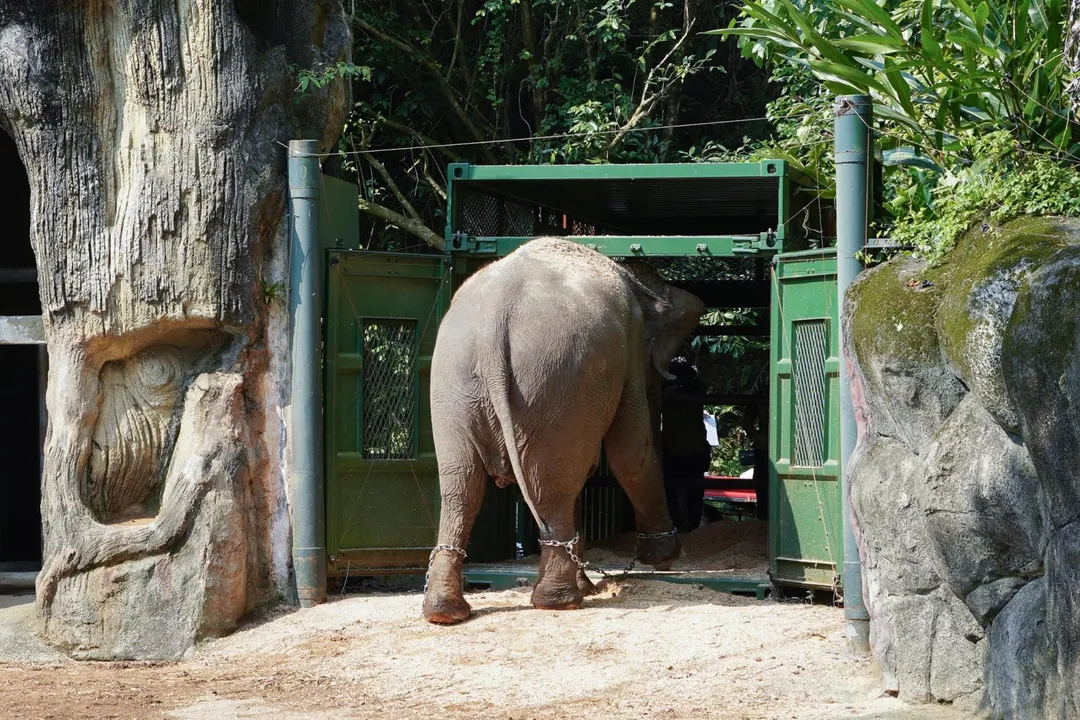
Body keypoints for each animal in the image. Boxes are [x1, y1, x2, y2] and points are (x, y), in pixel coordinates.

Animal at [422, 237, 705, 624]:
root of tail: (493, 320)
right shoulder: (628, 347)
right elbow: (630, 449)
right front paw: (663, 555)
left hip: (454, 383)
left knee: (461, 485)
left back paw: (444, 613)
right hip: (552, 378)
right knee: (550, 483)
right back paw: (561, 601)